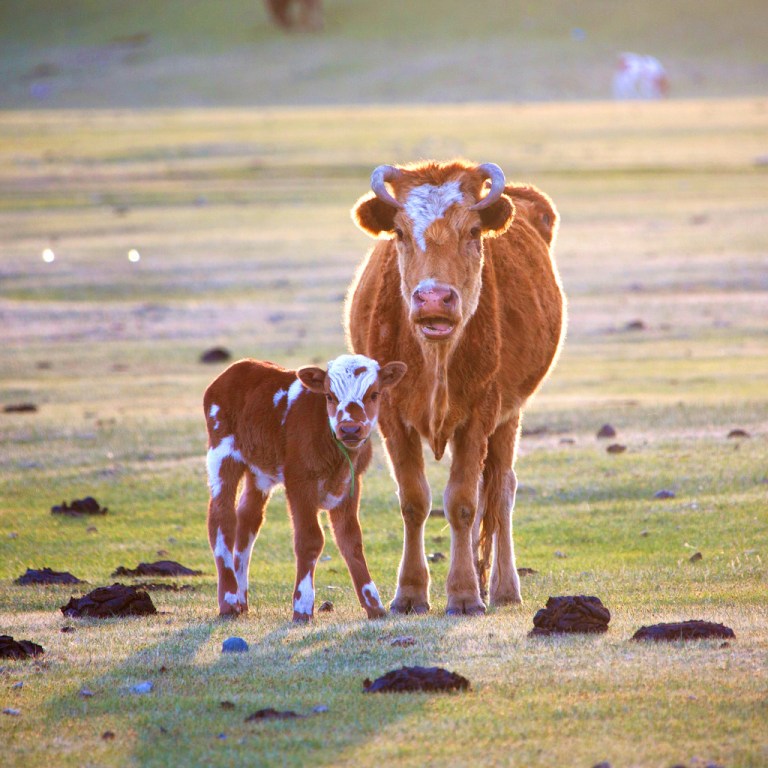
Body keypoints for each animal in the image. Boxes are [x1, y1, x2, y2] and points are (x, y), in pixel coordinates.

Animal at [204, 354, 406, 621]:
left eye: (374, 394)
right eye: (329, 396)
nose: (350, 429)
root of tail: (240, 365)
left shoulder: (351, 483)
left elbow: (350, 539)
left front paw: (373, 603)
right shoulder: (299, 482)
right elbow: (310, 539)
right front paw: (302, 606)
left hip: (259, 472)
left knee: (247, 519)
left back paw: (241, 598)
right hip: (221, 453)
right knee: (222, 517)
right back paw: (228, 601)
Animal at [345, 160, 566, 615]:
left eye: (473, 232)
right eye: (400, 232)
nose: (433, 299)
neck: (435, 356)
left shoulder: (480, 416)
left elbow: (463, 502)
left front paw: (464, 594)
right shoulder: (392, 417)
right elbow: (414, 500)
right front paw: (410, 594)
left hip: (509, 417)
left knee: (500, 491)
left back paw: (502, 587)